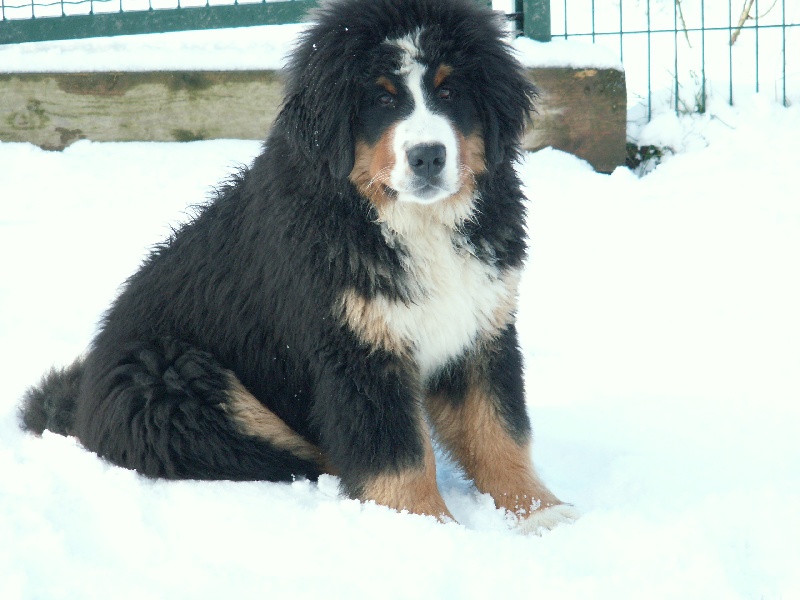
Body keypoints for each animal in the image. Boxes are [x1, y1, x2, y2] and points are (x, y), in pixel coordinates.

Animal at [21, 0, 580, 536]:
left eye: (449, 90)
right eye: (381, 99)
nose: (427, 157)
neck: (411, 222)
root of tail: (82, 401)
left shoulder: (480, 322)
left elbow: (498, 430)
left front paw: (540, 515)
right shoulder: (355, 348)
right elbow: (397, 453)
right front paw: (428, 530)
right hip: (163, 377)